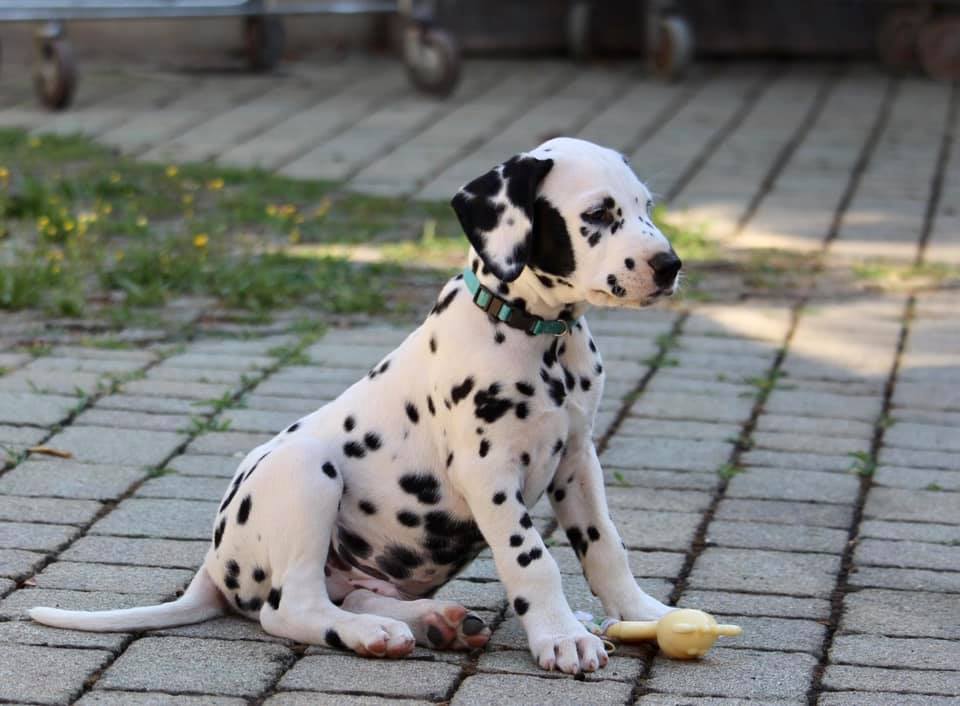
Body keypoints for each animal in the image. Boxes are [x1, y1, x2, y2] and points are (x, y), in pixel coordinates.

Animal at [30, 136, 684, 672]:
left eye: (647, 207)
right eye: (598, 214)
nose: (670, 265)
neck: (540, 339)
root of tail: (214, 567)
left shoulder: (577, 460)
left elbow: (606, 547)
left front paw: (641, 612)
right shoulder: (489, 473)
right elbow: (533, 558)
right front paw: (561, 636)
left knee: (355, 592)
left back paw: (434, 621)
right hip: (305, 471)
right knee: (288, 608)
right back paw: (371, 633)